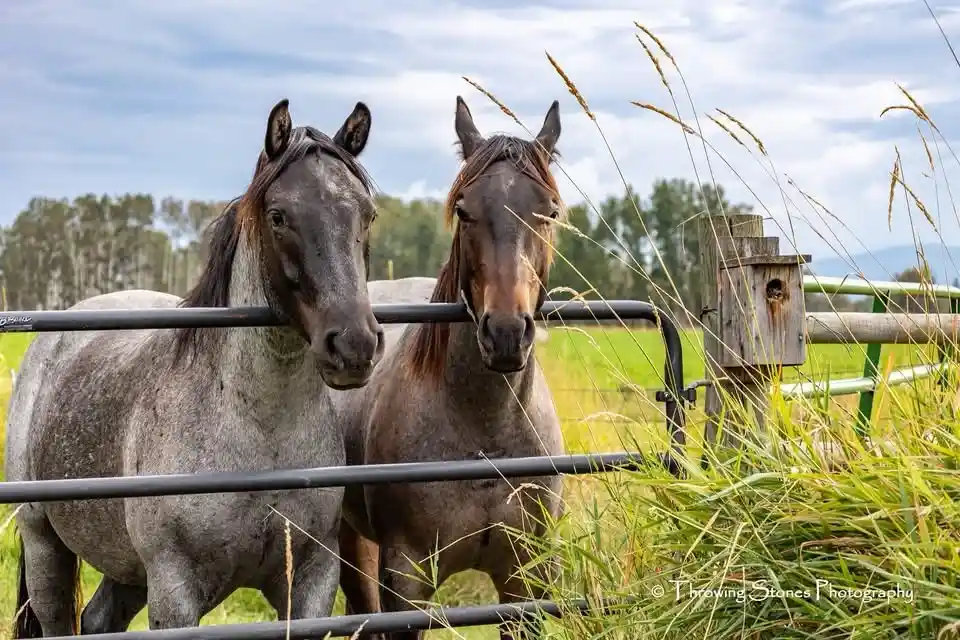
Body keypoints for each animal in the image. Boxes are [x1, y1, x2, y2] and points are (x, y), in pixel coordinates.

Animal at [6, 98, 386, 637]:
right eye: (279, 216)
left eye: (367, 215)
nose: (353, 344)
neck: (257, 428)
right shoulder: (174, 591)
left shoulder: (312, 580)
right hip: (44, 546)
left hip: (125, 570)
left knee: (99, 619)